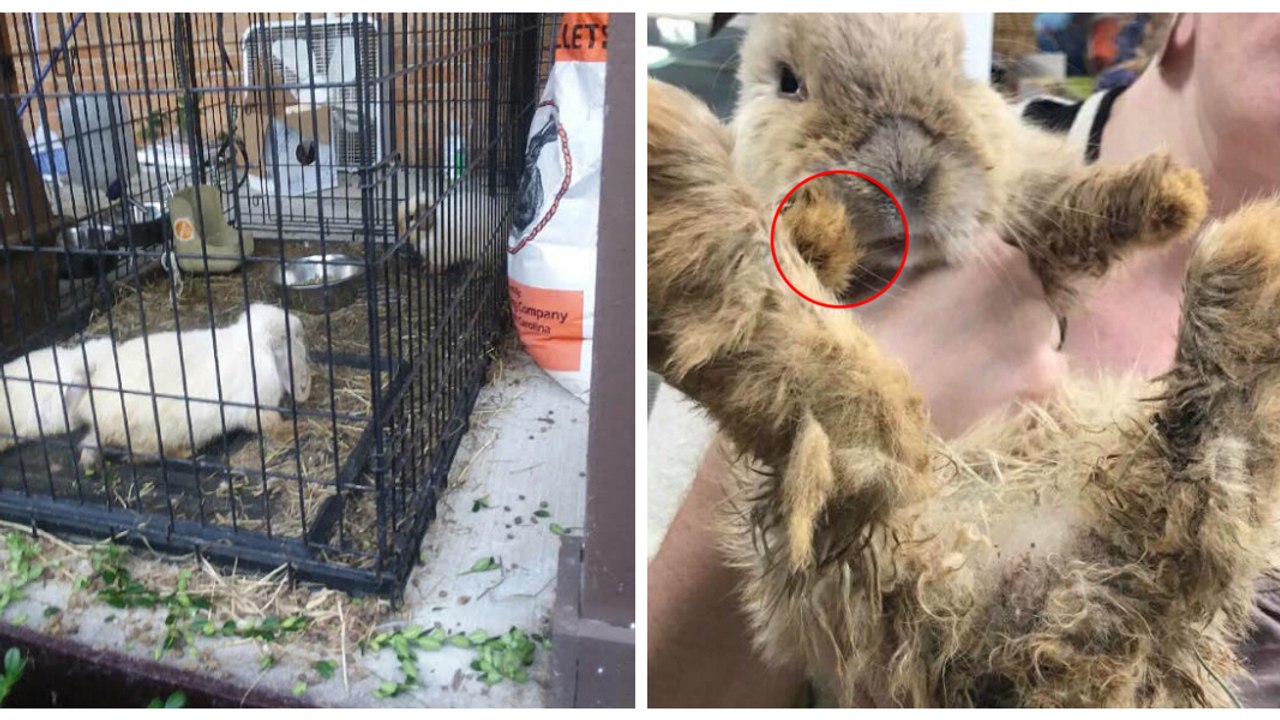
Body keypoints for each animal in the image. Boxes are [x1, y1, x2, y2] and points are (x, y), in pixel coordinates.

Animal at [74, 303, 311, 465]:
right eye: (289, 336)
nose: (300, 324)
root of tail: (89, 406)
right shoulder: (258, 404)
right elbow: (271, 425)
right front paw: (297, 429)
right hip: (153, 433)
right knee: (144, 454)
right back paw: (186, 452)